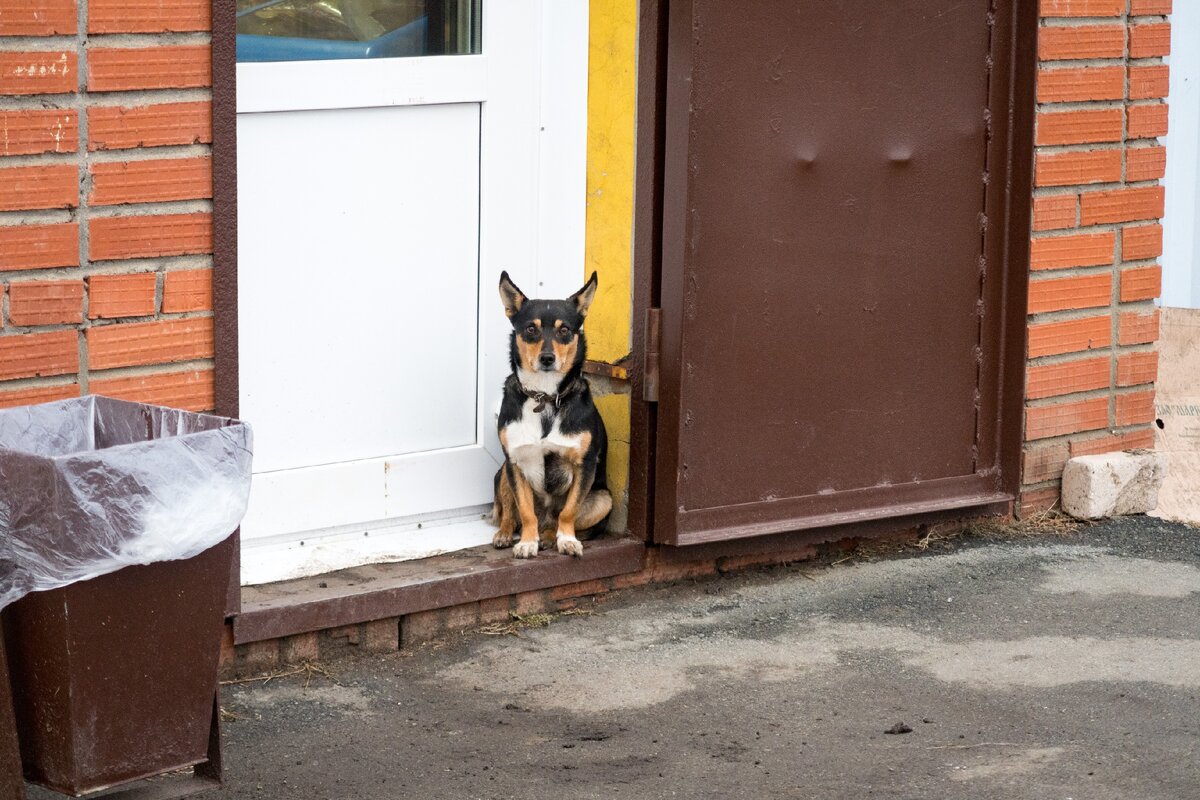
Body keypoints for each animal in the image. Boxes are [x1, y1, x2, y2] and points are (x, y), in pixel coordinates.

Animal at [487, 272, 609, 561]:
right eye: (531, 329)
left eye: (564, 330)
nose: (547, 358)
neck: (544, 395)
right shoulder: (515, 462)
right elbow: (525, 511)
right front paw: (526, 543)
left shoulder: (584, 465)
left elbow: (568, 511)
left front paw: (567, 540)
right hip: (502, 472)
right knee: (510, 513)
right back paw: (507, 535)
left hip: (605, 499)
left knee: (555, 520)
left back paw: (549, 537)